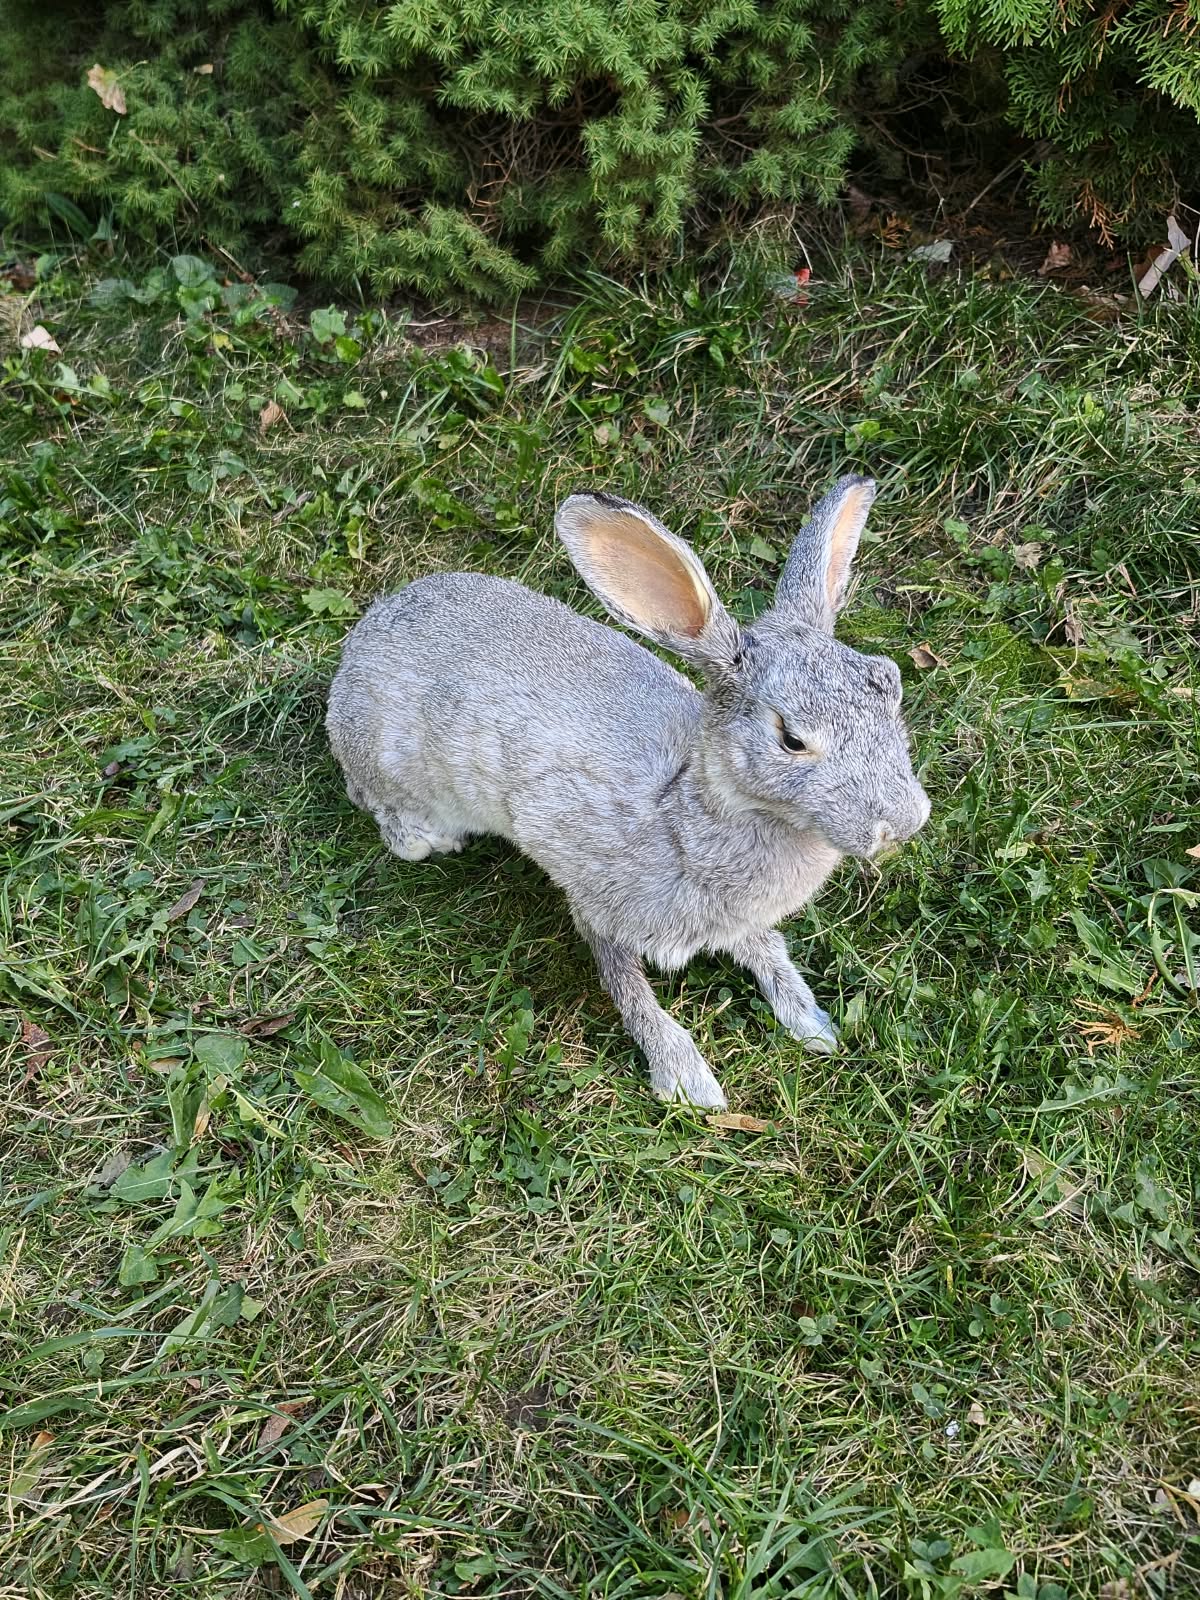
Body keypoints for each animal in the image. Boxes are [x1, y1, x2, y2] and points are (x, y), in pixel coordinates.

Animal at [327, 475, 930, 1110]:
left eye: (890, 681)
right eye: (791, 738)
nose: (906, 821)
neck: (682, 811)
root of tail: (358, 645)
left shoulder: (737, 922)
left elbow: (768, 951)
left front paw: (813, 1024)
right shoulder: (597, 903)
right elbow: (629, 990)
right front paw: (689, 1082)